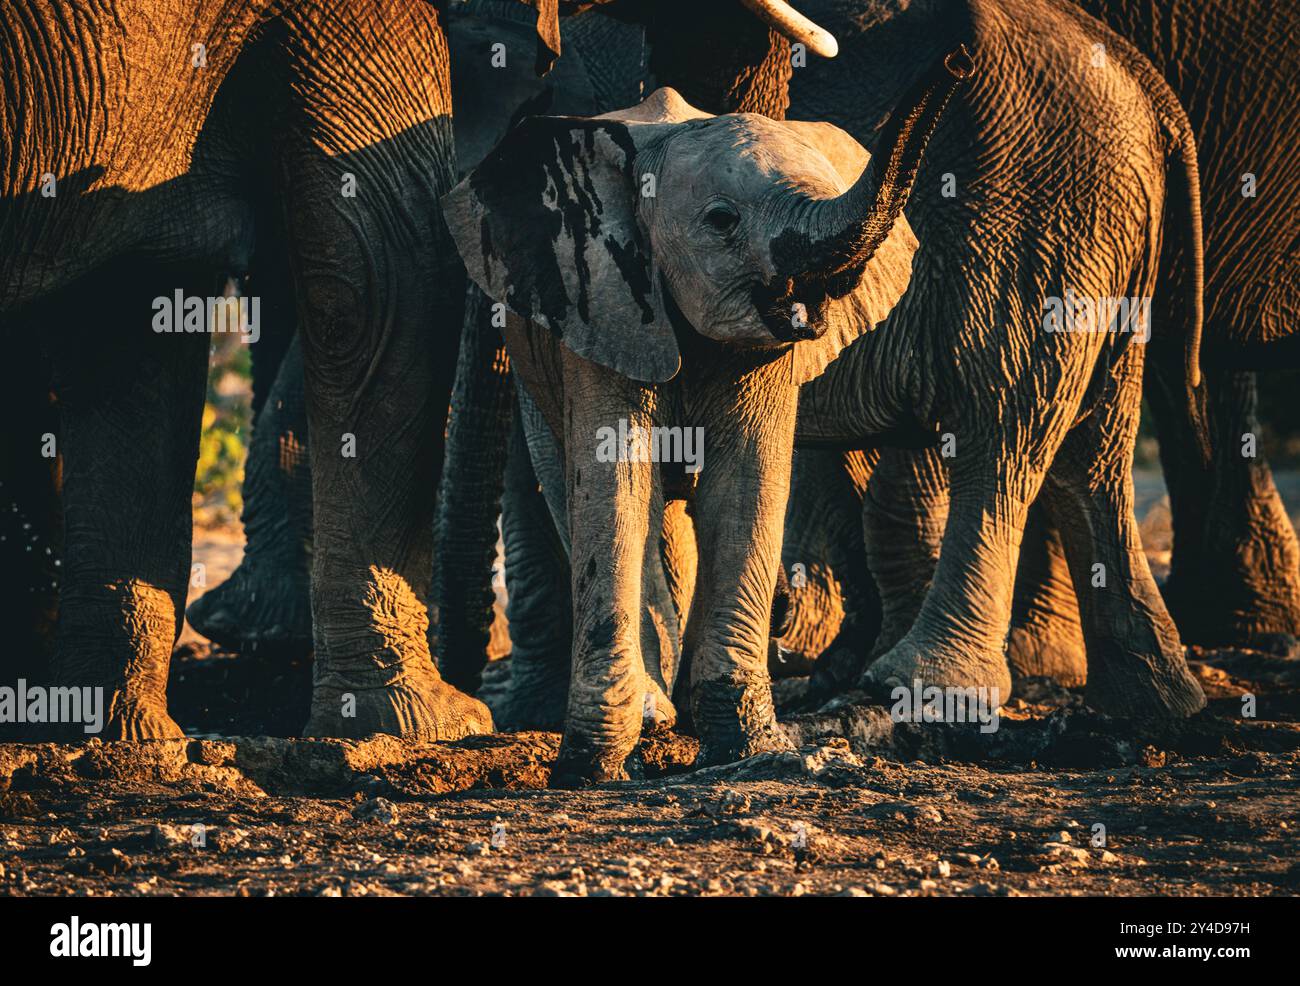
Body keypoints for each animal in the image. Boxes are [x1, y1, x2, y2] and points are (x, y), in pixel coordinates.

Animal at [441, 59, 972, 785]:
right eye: (722, 221)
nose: (957, 62)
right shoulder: (607, 295)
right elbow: (615, 483)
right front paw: (593, 765)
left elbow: (744, 483)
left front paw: (748, 747)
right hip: (535, 358)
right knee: (588, 489)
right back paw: (657, 711)